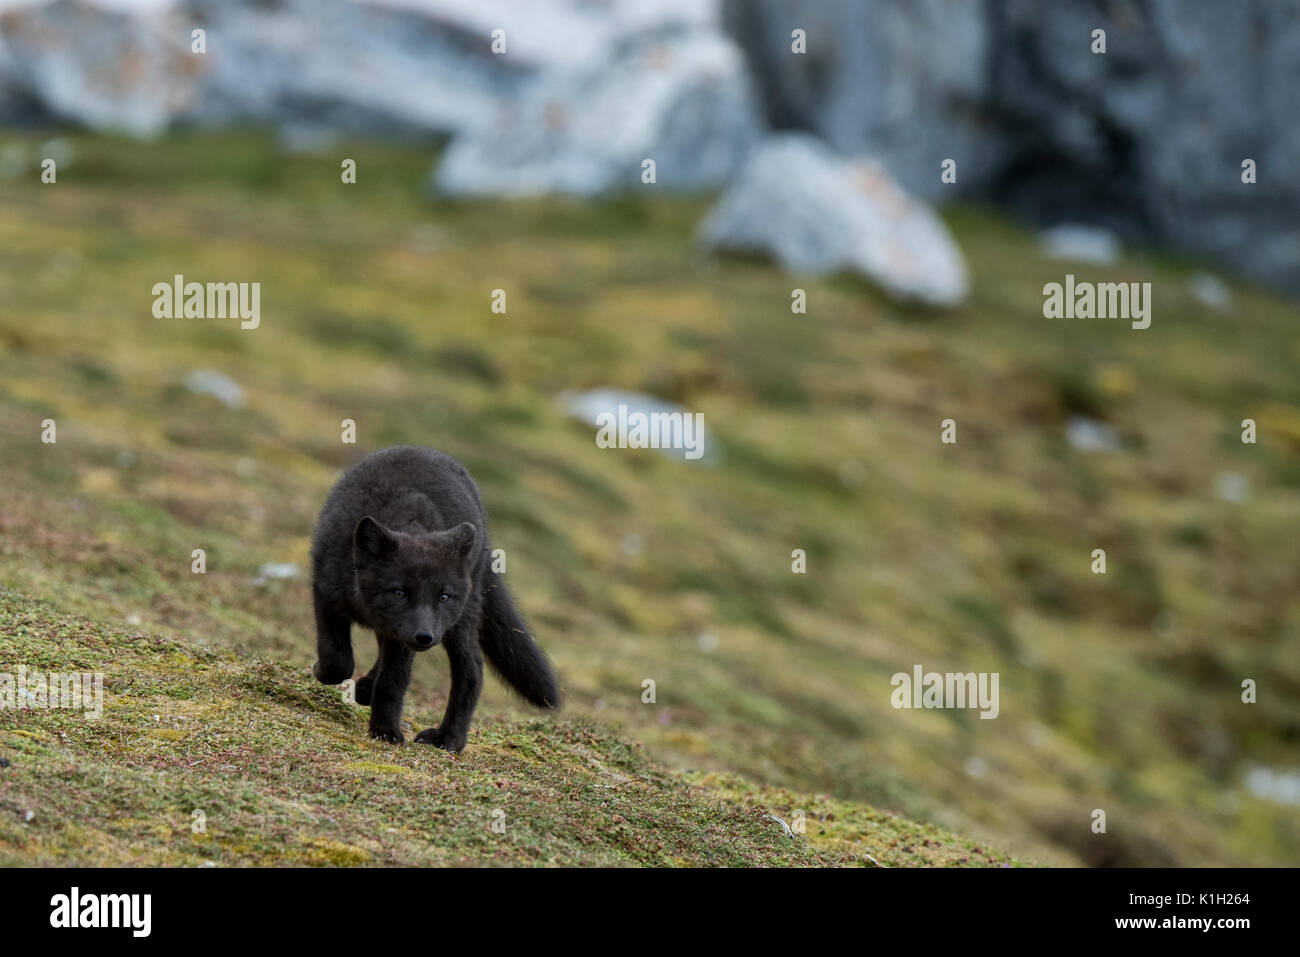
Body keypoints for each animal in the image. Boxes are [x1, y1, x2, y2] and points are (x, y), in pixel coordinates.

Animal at [310, 445, 560, 751]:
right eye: (399, 592)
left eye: (443, 596)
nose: (424, 637)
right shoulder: (326, 593)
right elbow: (338, 659)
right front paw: (325, 673)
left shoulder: (405, 639)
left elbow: (393, 684)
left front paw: (385, 731)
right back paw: (367, 688)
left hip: (460, 621)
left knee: (473, 669)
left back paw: (449, 738)